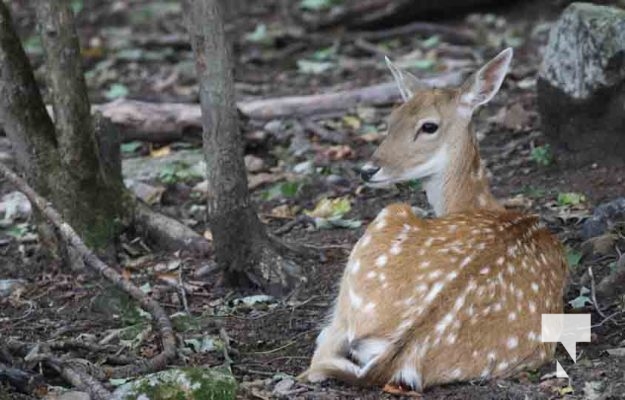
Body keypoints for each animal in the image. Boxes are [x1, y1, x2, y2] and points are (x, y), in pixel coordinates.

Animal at [300, 48, 568, 396]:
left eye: (429, 126)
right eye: (391, 120)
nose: (367, 170)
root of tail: (399, 353)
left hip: (385, 220)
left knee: (320, 357)